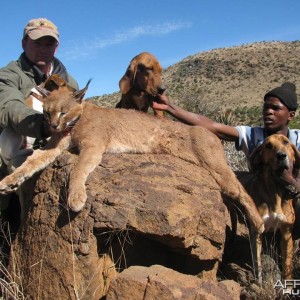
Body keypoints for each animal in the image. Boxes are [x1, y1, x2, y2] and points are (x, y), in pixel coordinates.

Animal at [246, 135, 300, 284]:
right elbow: (257, 262)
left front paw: (287, 285)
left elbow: (287, 264)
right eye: (268, 146)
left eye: (286, 142)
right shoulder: (257, 230)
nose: (281, 156)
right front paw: (259, 284)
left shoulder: (286, 232)